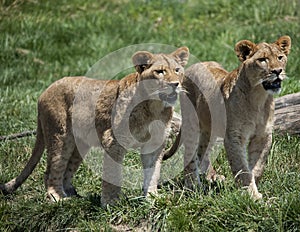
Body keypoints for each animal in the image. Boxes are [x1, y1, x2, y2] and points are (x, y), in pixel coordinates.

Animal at [0, 46, 189, 206]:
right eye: (160, 72)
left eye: (177, 70)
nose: (175, 84)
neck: (154, 107)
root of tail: (44, 91)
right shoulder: (112, 141)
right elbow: (113, 174)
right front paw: (111, 203)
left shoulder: (154, 145)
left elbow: (153, 173)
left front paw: (151, 198)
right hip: (60, 136)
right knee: (51, 171)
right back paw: (58, 198)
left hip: (79, 145)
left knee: (67, 170)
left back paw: (73, 195)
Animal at [164, 36, 290, 199]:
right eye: (262, 60)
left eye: (280, 57)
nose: (278, 71)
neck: (259, 98)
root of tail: (194, 66)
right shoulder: (234, 136)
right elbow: (241, 167)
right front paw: (252, 196)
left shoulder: (263, 135)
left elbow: (258, 166)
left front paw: (254, 187)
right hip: (192, 124)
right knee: (190, 155)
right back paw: (193, 186)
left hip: (209, 131)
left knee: (202, 153)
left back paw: (211, 177)